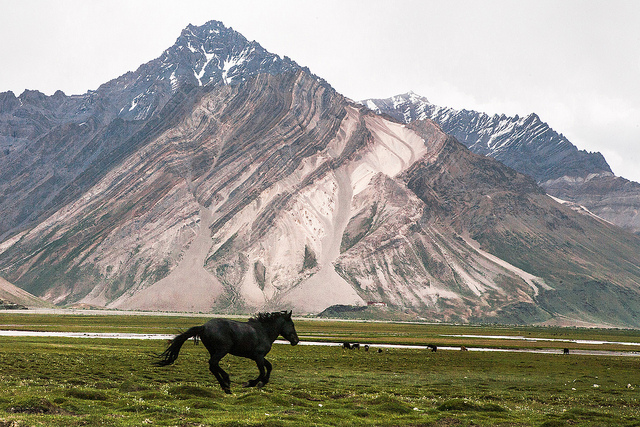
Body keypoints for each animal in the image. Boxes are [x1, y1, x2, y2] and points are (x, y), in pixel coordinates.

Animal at [153, 310, 300, 394]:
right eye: (292, 324)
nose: (296, 340)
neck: (263, 331)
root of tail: (204, 326)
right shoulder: (258, 356)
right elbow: (262, 371)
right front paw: (251, 383)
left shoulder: (256, 356)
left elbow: (269, 367)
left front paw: (262, 383)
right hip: (222, 350)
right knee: (213, 363)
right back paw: (227, 383)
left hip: (214, 350)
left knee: (212, 366)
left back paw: (225, 386)